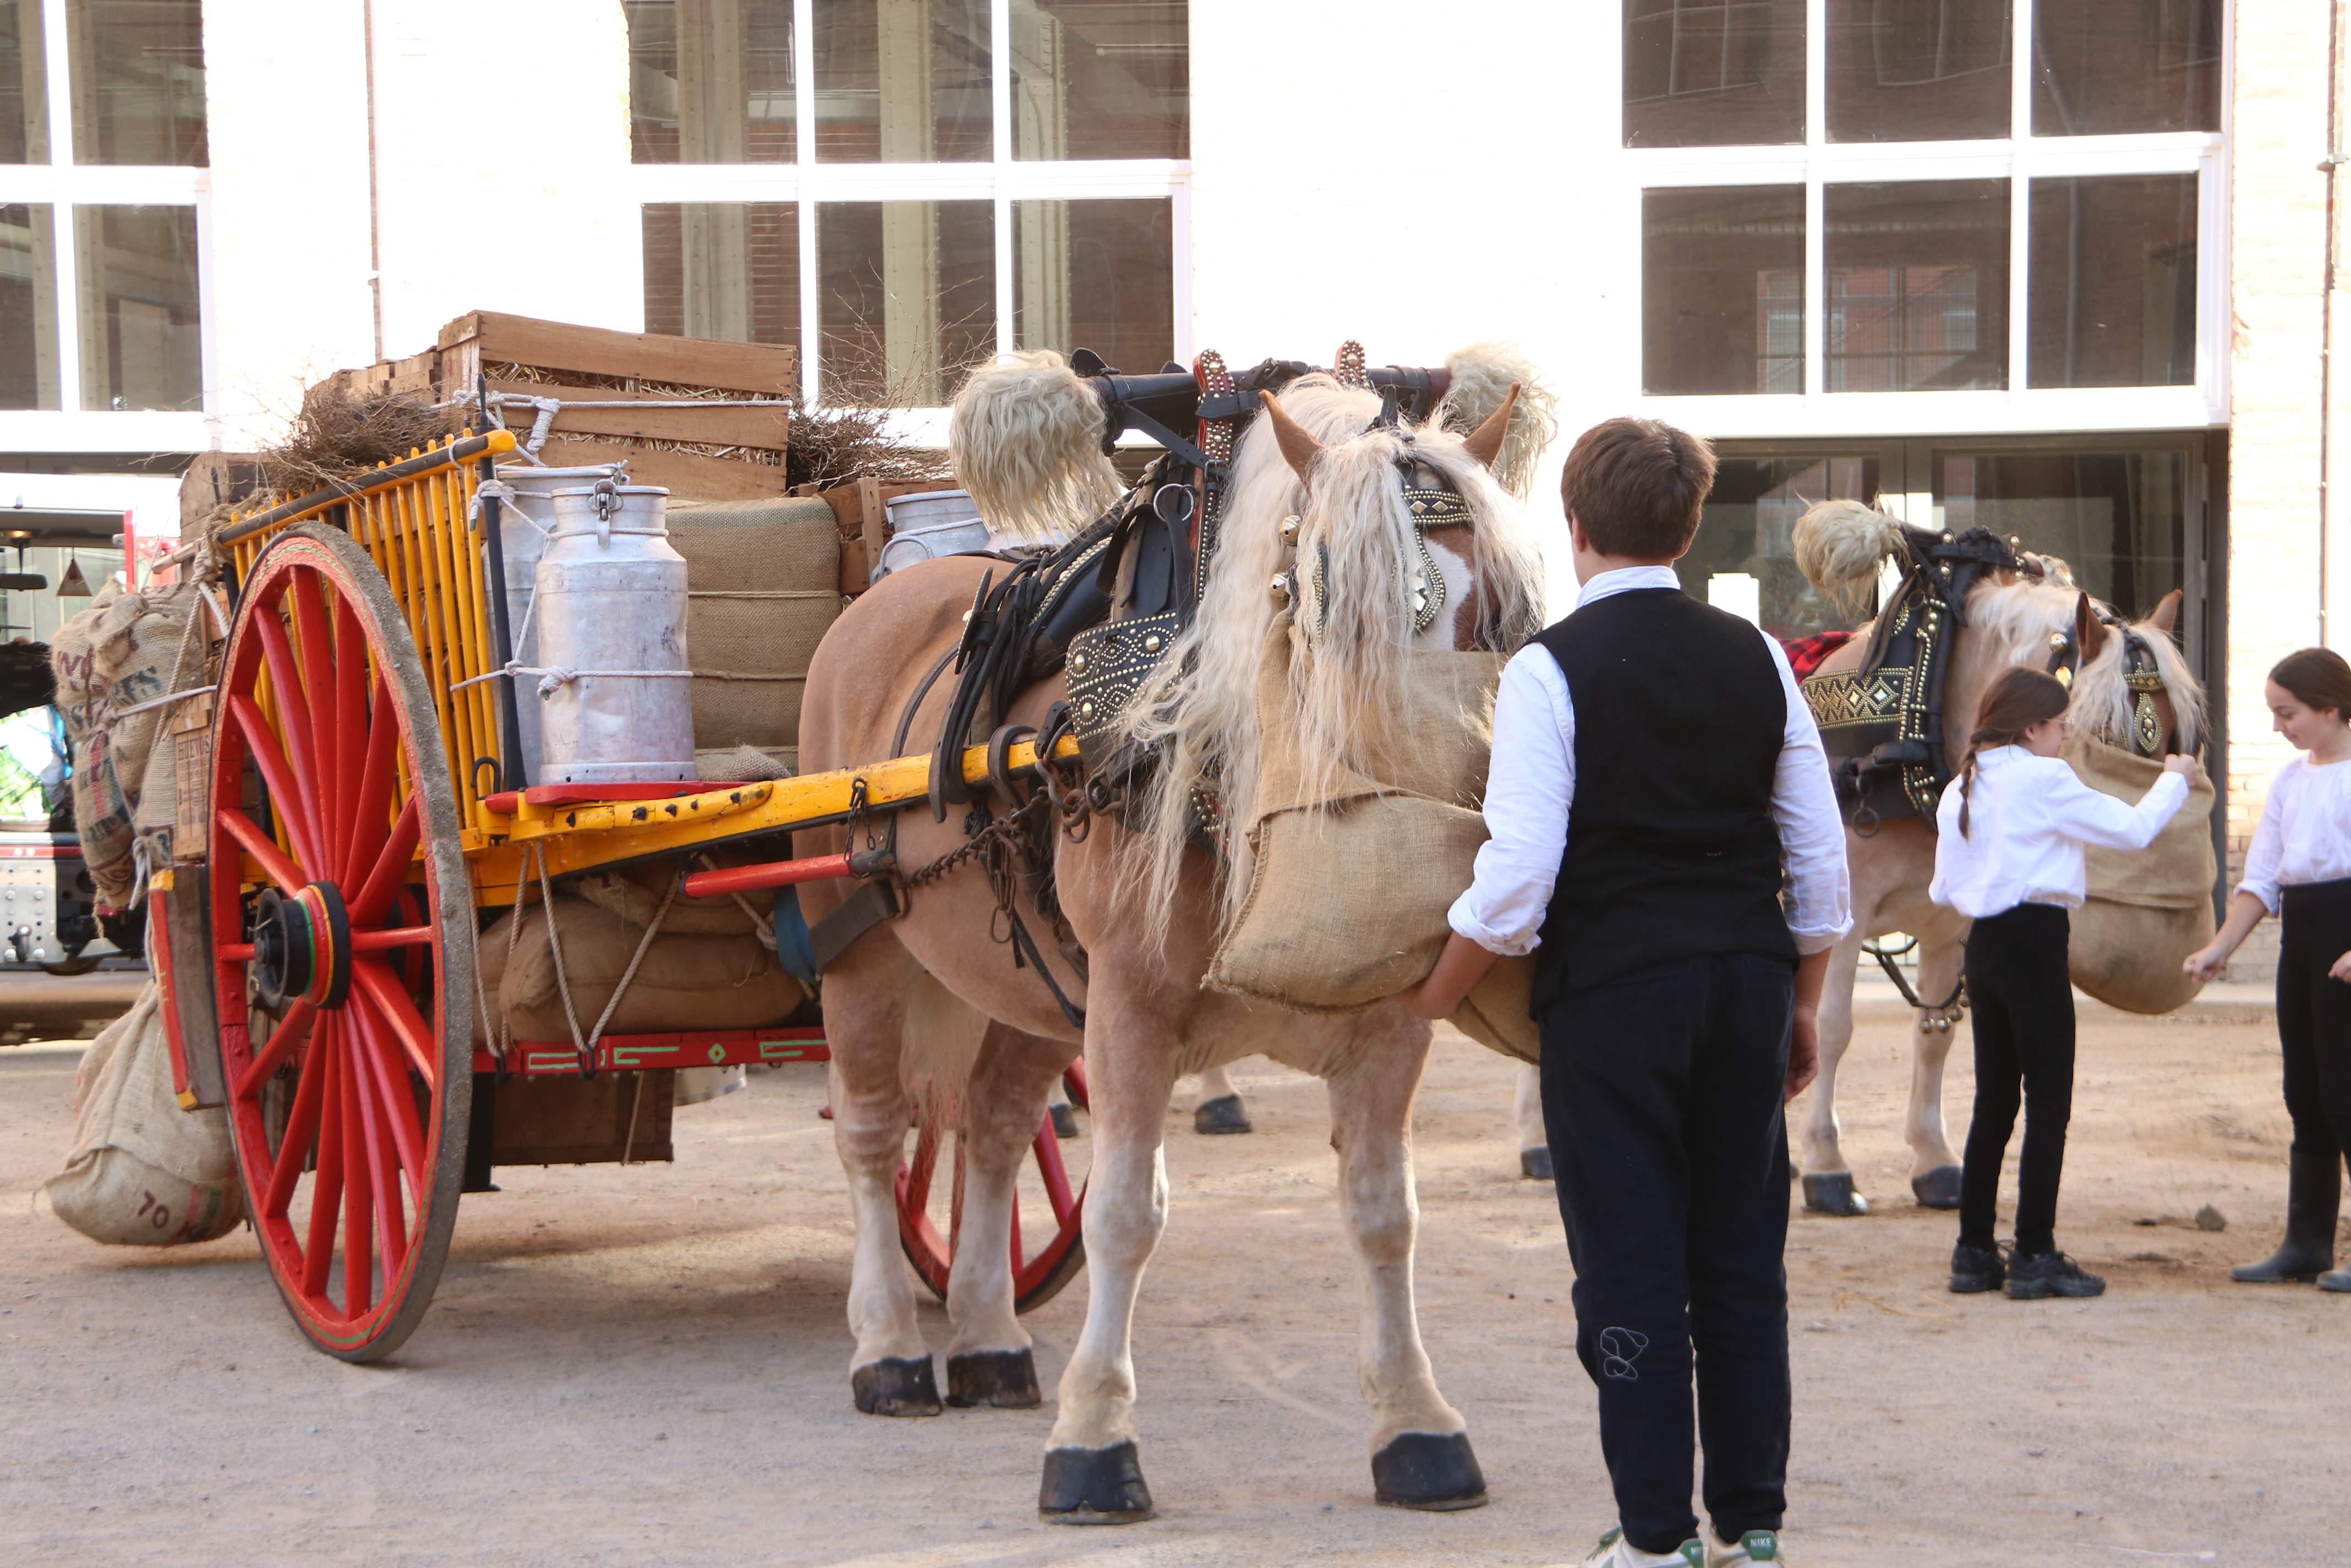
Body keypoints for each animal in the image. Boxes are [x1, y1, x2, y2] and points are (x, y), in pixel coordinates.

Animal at [799, 352, 1551, 1523]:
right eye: (1318, 595)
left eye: (1498, 609)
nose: (1423, 831)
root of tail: (880, 600)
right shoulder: (1130, 1002)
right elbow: (1121, 1212)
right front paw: (1094, 1439)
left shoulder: (1386, 1023)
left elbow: (1383, 1212)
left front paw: (1416, 1421)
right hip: (865, 950)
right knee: (876, 1136)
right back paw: (887, 1346)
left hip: (1029, 986)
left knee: (995, 1128)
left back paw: (985, 1334)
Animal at [1786, 510, 2210, 1222]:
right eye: (2102, 734)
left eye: (2180, 737)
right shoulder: (1843, 915)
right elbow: (1834, 1026)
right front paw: (1826, 1163)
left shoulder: (1952, 923)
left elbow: (1935, 1035)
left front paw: (1934, 1161)